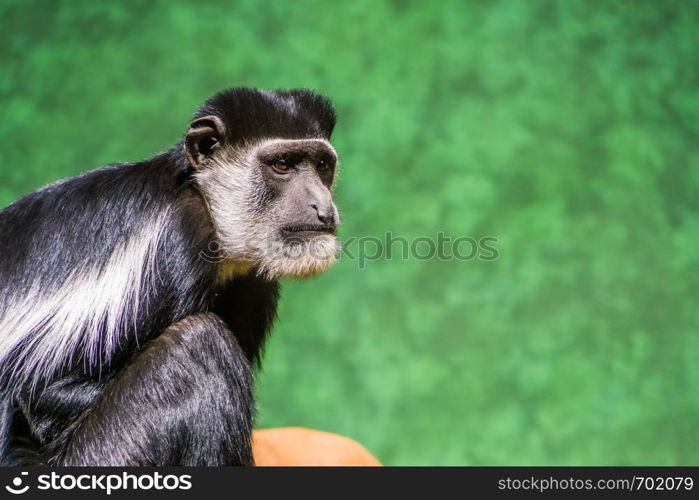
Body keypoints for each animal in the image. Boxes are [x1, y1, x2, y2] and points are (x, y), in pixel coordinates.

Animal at [0, 88, 342, 466]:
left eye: (322, 166)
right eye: (282, 165)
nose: (322, 208)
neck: (203, 198)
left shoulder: (254, 283)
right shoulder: (177, 239)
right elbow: (47, 395)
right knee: (197, 344)